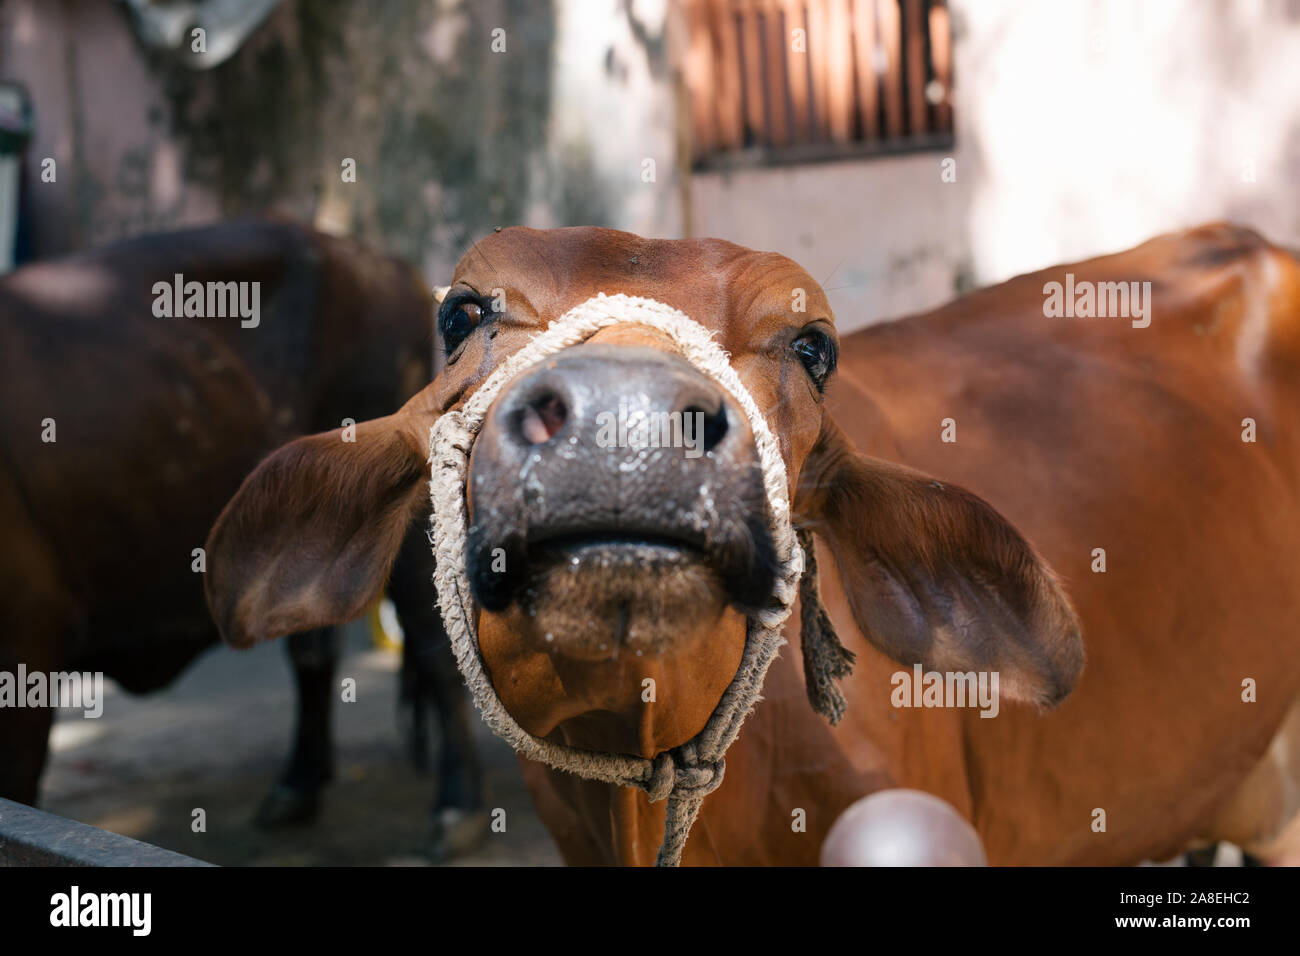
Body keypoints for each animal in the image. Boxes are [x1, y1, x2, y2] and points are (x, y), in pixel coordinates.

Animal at [0, 223, 486, 858]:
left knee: (431, 649)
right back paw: (297, 788)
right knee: (313, 650)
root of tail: (369, 257)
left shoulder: (29, 641)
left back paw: (456, 809)